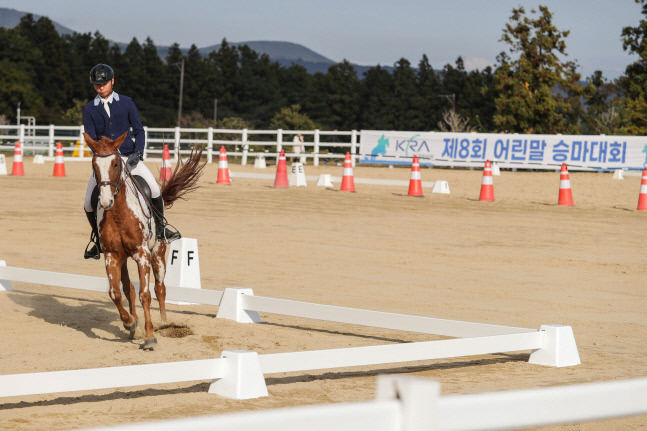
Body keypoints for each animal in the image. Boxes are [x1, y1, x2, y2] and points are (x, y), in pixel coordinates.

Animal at [83, 132, 204, 352]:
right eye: (94, 165)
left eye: (115, 163)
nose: (105, 201)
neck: (119, 214)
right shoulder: (111, 256)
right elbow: (115, 293)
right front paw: (130, 323)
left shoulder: (142, 254)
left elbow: (145, 294)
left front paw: (149, 337)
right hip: (123, 259)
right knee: (127, 288)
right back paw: (135, 325)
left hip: (158, 254)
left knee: (160, 289)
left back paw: (164, 323)